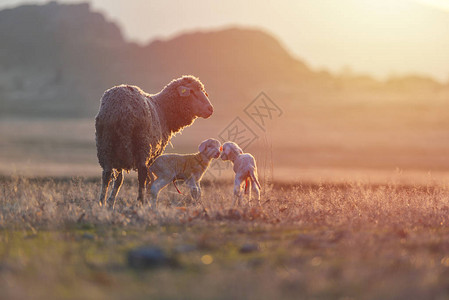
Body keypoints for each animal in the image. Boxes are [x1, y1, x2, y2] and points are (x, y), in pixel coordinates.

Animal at [94, 74, 214, 209]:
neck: (163, 110)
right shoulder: (152, 156)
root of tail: (121, 110)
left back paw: (102, 203)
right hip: (142, 144)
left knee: (107, 174)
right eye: (192, 91)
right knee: (141, 174)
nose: (210, 109)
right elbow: (148, 179)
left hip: (106, 146)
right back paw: (140, 202)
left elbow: (119, 179)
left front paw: (111, 202)